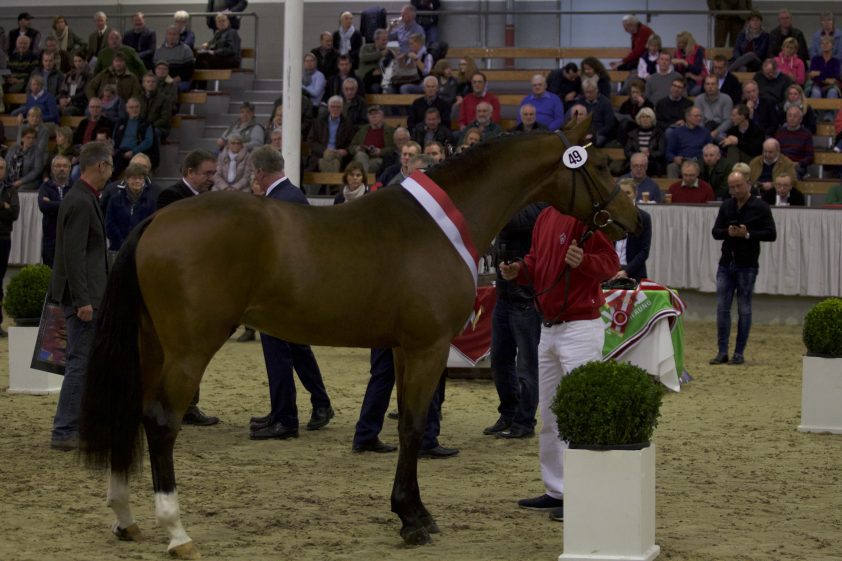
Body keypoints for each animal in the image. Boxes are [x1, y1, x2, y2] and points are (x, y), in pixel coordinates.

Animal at [79, 118, 640, 559]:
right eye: (602, 165)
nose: (632, 218)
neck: (443, 224)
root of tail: (156, 219)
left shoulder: (402, 348)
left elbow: (409, 423)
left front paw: (412, 512)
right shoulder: (428, 347)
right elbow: (412, 426)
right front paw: (412, 520)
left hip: (151, 345)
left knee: (131, 411)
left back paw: (124, 516)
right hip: (189, 349)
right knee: (160, 421)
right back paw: (176, 532)